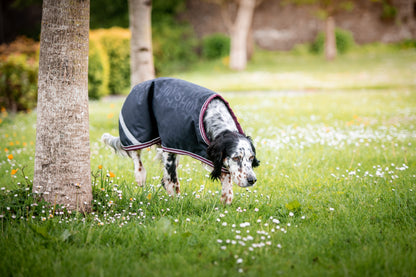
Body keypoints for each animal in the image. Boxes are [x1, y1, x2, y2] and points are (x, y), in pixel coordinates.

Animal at [102, 77, 258, 203]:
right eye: (236, 158)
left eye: (251, 158)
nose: (252, 180)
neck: (214, 116)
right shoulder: (170, 147)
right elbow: (173, 181)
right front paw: (176, 201)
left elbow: (226, 180)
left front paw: (226, 201)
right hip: (138, 130)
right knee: (136, 154)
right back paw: (140, 175)